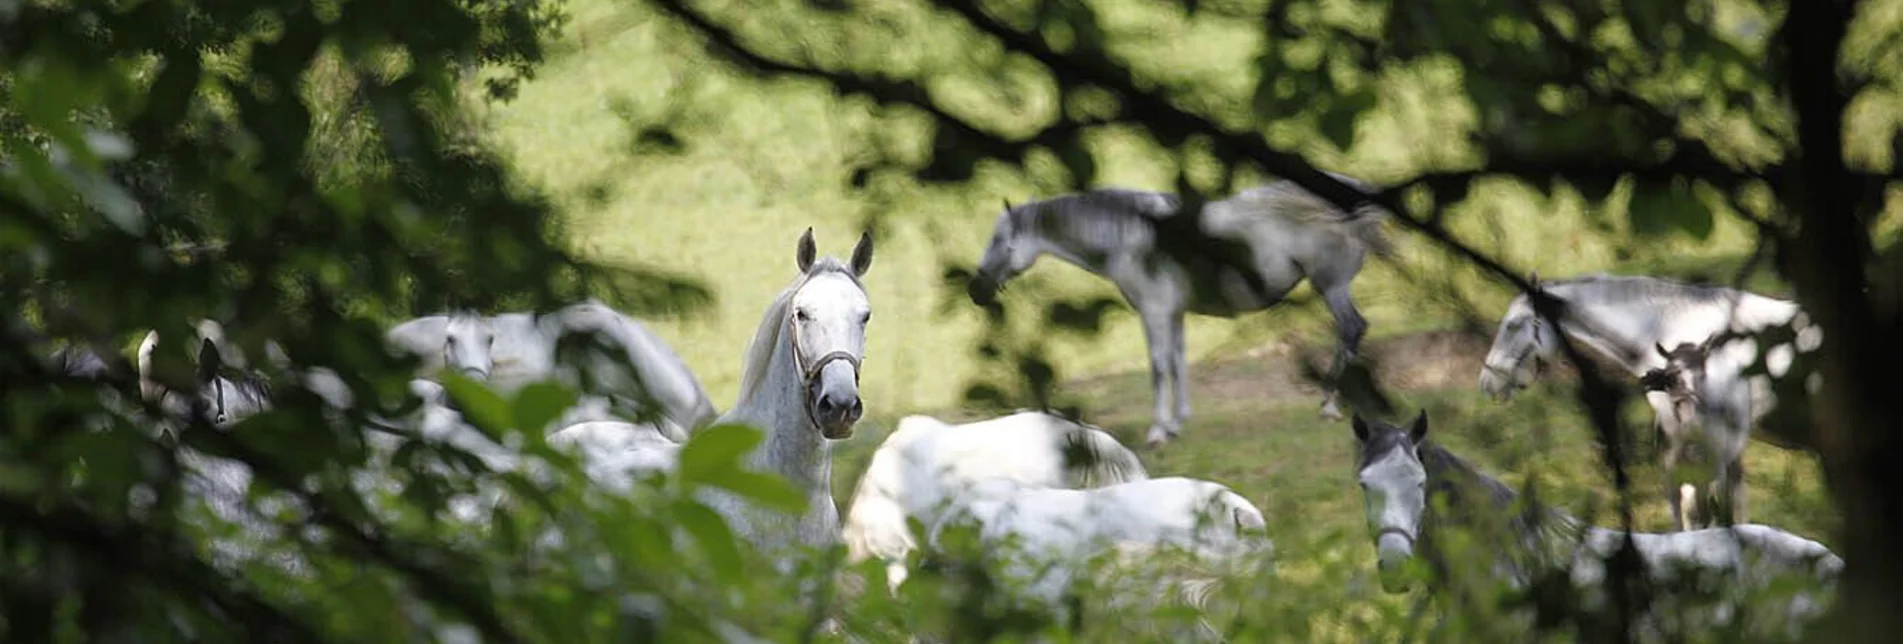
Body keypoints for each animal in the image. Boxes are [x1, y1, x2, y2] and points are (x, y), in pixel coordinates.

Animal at [966, 176, 1400, 447]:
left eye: (1000, 241)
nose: (975, 290)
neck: (1131, 236)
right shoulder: (1172, 313)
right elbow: (1176, 361)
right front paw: (1177, 423)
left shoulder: (1155, 312)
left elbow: (1159, 366)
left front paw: (1159, 431)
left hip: (1331, 286)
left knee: (1351, 329)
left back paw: (1329, 405)